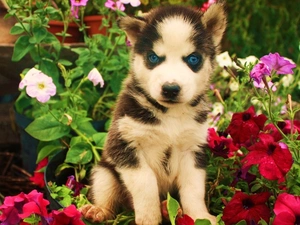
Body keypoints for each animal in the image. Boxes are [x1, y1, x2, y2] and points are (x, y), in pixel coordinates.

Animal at [81, 2, 226, 225]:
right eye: (153, 57)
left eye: (193, 58)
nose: (170, 89)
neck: (171, 116)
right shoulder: (124, 144)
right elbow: (146, 181)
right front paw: (149, 216)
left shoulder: (193, 150)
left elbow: (193, 189)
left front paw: (200, 216)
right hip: (104, 171)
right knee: (108, 194)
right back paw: (99, 211)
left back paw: (168, 209)